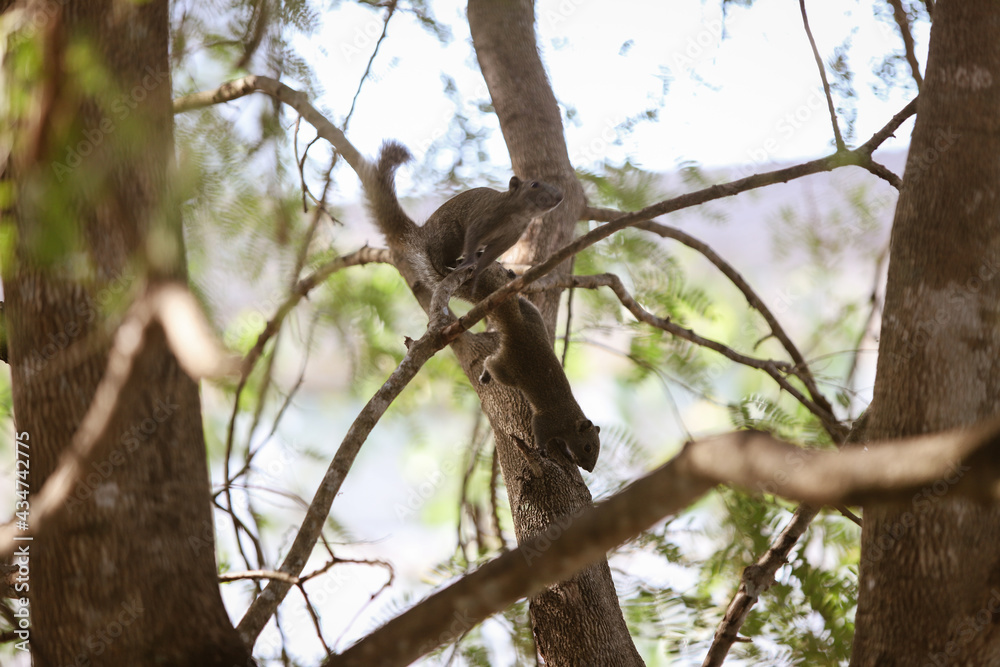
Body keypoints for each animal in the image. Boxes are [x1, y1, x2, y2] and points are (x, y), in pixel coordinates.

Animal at [479, 292, 601, 472]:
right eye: (588, 447)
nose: (589, 469)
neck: (570, 420)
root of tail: (519, 327)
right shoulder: (548, 420)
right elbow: (539, 430)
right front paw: (542, 449)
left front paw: (566, 453)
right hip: (507, 371)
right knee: (489, 361)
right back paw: (485, 375)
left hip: (533, 317)